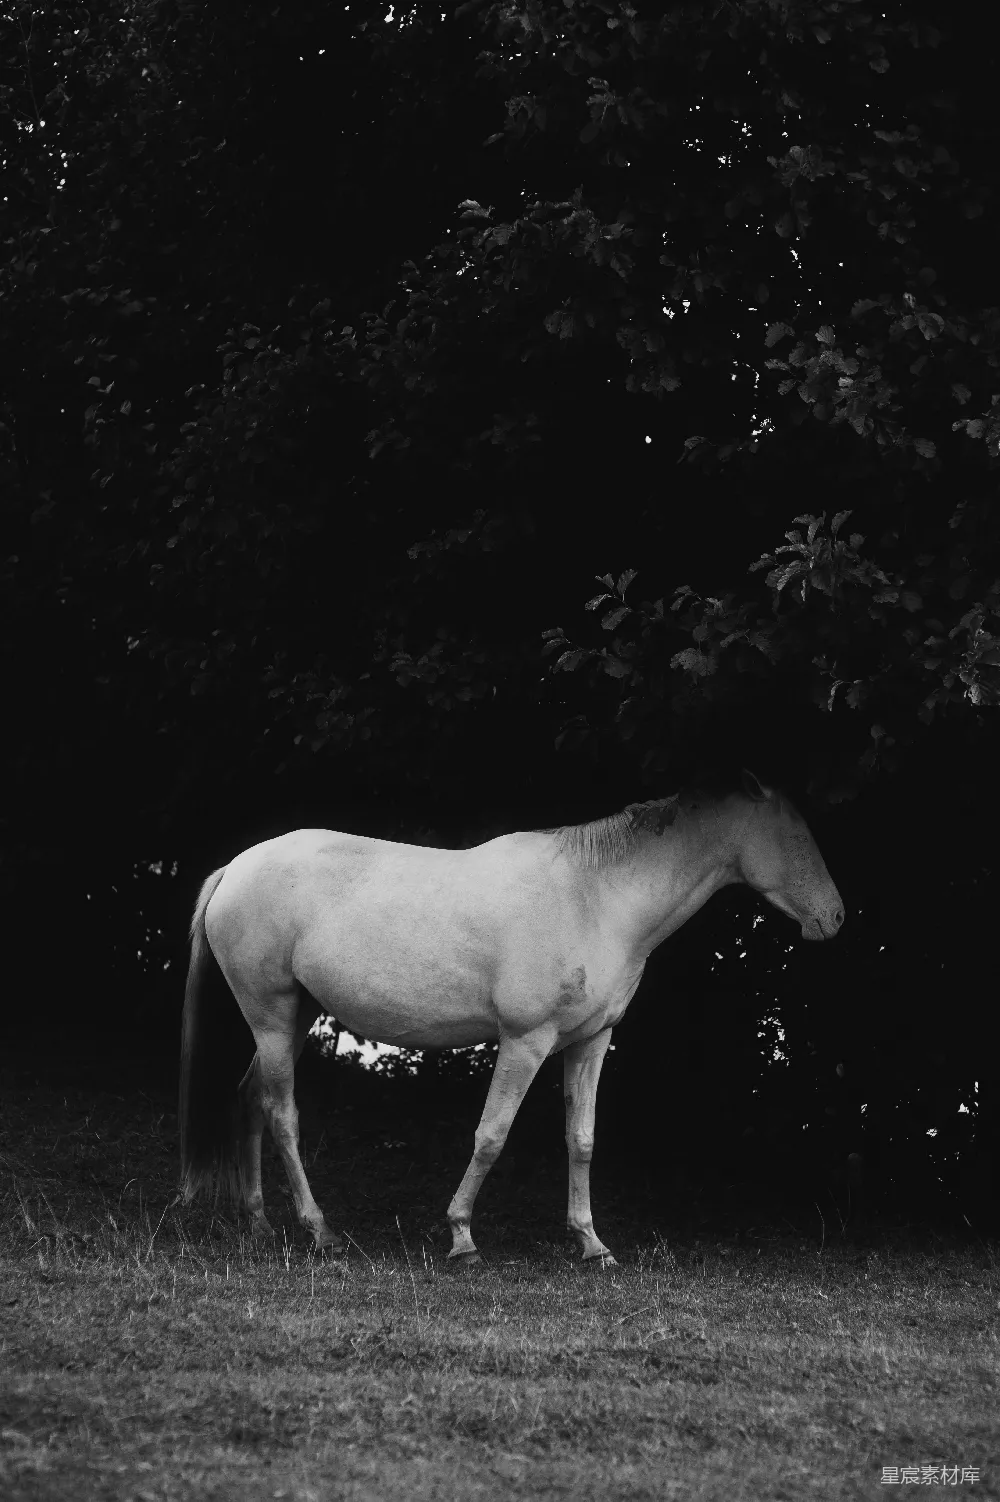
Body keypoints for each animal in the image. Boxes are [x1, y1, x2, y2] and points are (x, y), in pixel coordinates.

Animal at [178, 770, 844, 1265]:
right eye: (796, 835)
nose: (834, 918)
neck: (596, 897)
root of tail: (236, 867)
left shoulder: (591, 1042)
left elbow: (582, 1139)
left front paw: (591, 1244)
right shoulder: (526, 1042)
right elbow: (492, 1135)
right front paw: (462, 1238)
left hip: (296, 1016)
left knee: (250, 1099)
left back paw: (259, 1224)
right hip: (271, 1014)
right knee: (281, 1112)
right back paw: (319, 1230)